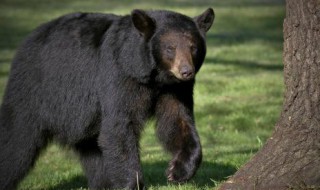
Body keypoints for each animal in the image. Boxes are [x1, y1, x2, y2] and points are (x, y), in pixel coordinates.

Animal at [0, 7, 215, 189]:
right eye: (170, 48)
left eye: (193, 47)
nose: (186, 71)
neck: (153, 76)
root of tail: (27, 40)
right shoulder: (119, 76)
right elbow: (119, 126)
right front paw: (133, 184)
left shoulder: (174, 89)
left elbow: (177, 121)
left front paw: (177, 171)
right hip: (33, 93)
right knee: (17, 142)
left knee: (92, 150)